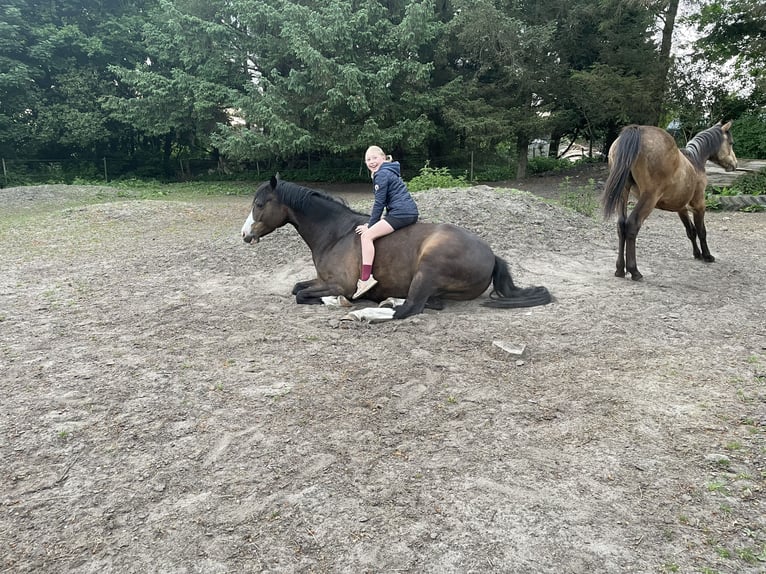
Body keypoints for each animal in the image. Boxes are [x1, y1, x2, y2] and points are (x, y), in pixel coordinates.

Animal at [240, 176, 552, 320]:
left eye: (259, 204)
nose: (244, 234)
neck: (335, 233)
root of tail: (491, 254)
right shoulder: (322, 279)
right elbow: (297, 287)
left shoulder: (340, 284)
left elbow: (301, 295)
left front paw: (337, 302)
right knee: (428, 303)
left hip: (429, 265)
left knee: (410, 309)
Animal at [608, 122, 736, 282]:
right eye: (731, 143)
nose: (734, 164)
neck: (695, 160)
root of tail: (638, 130)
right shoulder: (699, 206)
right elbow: (702, 231)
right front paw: (707, 256)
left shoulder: (681, 209)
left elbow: (691, 231)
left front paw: (697, 254)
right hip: (649, 198)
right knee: (632, 225)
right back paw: (635, 271)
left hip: (623, 194)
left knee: (621, 225)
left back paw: (620, 269)